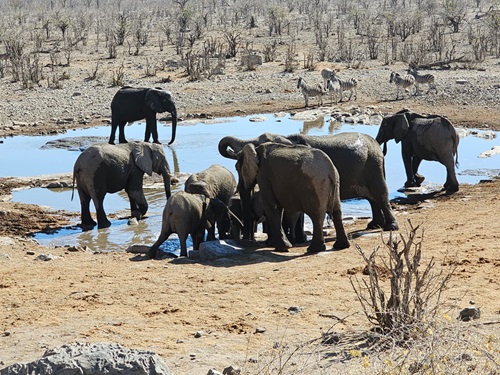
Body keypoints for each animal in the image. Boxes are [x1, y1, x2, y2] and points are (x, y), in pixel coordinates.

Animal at [219, 131, 398, 241]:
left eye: (238, 168)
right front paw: (300, 239)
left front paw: (299, 239)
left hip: (373, 164)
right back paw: (374, 225)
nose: (247, 240)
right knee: (371, 197)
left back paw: (390, 227)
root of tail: (375, 143)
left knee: (380, 193)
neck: (285, 138)